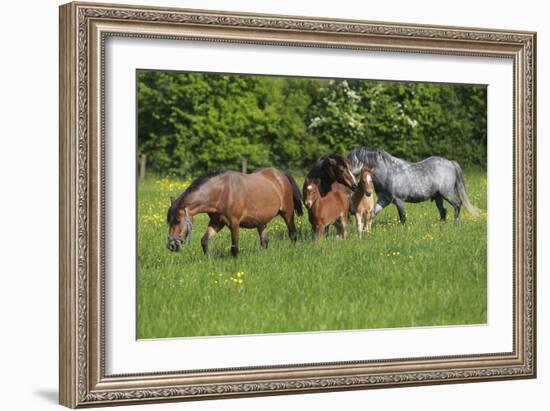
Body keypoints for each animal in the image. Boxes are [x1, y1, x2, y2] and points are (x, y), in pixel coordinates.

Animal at [168, 168, 306, 258]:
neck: (222, 192)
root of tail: (280, 174)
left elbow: (235, 248)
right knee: (264, 241)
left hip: (288, 214)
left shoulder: (234, 223)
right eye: (169, 221)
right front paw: (208, 260)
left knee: (293, 235)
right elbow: (204, 241)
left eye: (178, 221)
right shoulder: (217, 222)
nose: (171, 246)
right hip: (261, 221)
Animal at [352, 147, 480, 225]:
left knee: (457, 204)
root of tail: (450, 163)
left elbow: (402, 217)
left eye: (351, 158)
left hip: (447, 193)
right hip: (438, 197)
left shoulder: (399, 200)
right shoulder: (384, 200)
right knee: (443, 211)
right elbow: (373, 212)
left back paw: (455, 224)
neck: (388, 172)